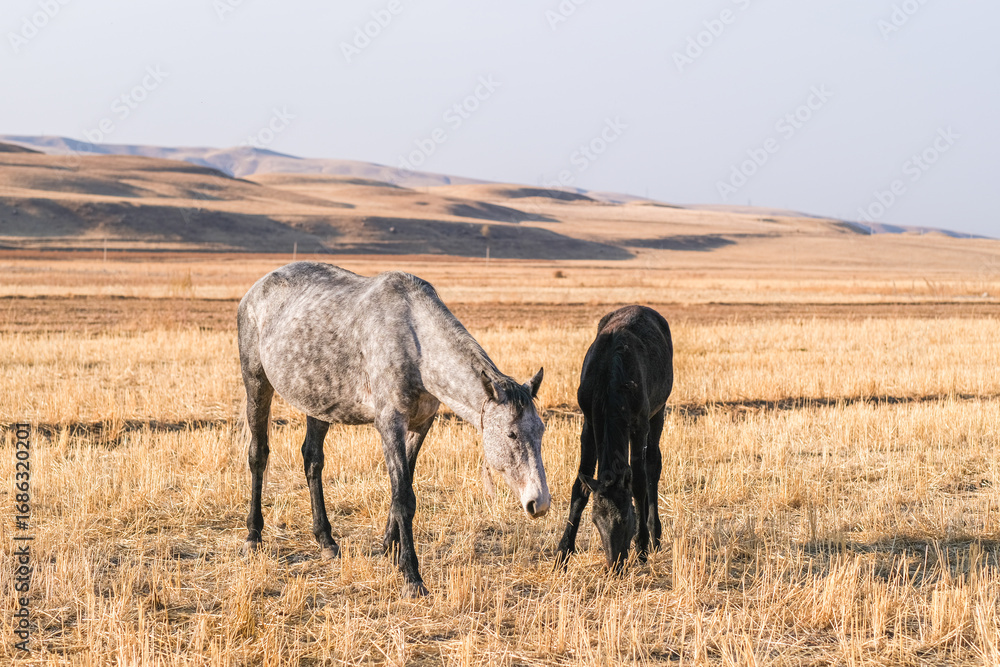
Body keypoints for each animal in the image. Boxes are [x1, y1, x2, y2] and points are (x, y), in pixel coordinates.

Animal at [237, 262, 550, 597]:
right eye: (511, 434)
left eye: (541, 431)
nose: (540, 503)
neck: (414, 342)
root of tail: (255, 290)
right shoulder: (389, 424)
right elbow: (403, 498)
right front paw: (411, 576)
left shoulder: (420, 426)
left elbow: (403, 491)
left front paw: (389, 547)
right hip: (256, 383)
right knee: (258, 455)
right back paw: (253, 536)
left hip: (317, 401)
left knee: (312, 460)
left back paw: (326, 540)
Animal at [556, 305, 673, 570]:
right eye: (595, 520)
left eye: (626, 518)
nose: (614, 565)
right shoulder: (589, 423)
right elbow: (579, 486)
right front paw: (563, 551)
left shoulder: (640, 423)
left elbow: (639, 483)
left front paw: (642, 547)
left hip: (659, 410)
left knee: (652, 464)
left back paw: (655, 536)